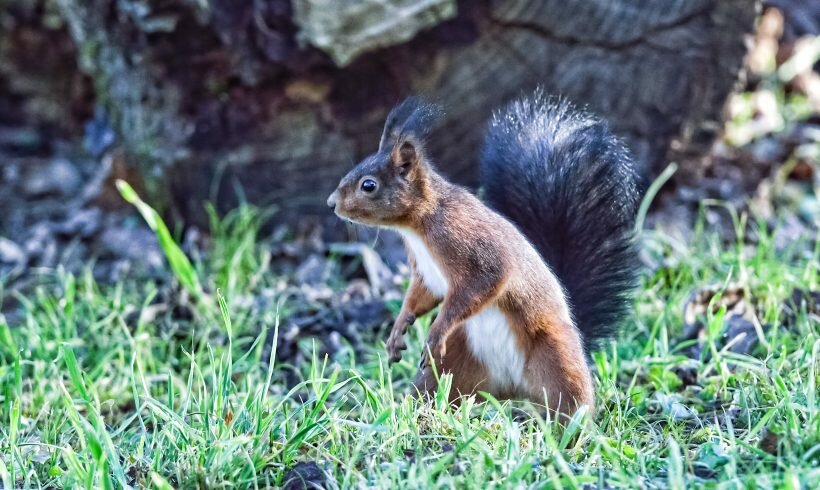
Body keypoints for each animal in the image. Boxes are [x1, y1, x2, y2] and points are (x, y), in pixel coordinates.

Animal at [326, 90, 640, 416]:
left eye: (368, 185)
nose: (331, 203)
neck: (419, 225)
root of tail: (513, 389)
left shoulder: (470, 244)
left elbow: (485, 282)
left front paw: (436, 331)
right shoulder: (426, 273)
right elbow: (420, 296)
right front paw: (398, 329)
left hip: (555, 357)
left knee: (569, 400)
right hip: (455, 367)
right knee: (435, 392)